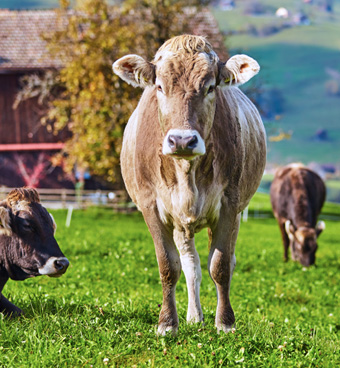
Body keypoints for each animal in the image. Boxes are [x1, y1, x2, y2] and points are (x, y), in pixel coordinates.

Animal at [113, 35, 266, 334]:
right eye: (160, 86)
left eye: (210, 87)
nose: (182, 140)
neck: (187, 174)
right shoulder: (151, 207)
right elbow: (168, 266)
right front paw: (167, 323)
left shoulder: (229, 205)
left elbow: (220, 266)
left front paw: (225, 323)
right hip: (180, 224)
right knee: (190, 265)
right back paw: (194, 316)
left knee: (224, 261)